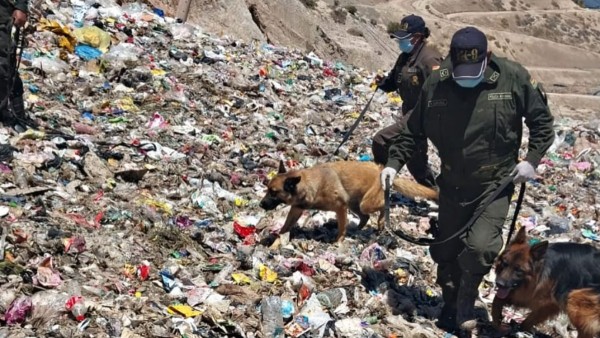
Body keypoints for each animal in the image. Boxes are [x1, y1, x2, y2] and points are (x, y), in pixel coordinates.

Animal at [260, 161, 438, 243]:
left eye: (274, 192)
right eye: (267, 188)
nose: (260, 205)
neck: (310, 184)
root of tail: (380, 170)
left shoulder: (341, 207)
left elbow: (341, 228)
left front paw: (338, 240)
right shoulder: (296, 208)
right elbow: (286, 224)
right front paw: (278, 236)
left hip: (365, 204)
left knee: (382, 206)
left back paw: (381, 221)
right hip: (355, 204)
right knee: (365, 217)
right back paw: (357, 229)